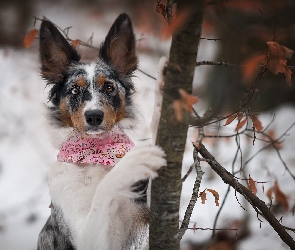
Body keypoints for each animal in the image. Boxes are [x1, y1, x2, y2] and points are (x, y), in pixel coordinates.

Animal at [37, 13, 166, 250]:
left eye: (108, 87)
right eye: (74, 90)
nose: (94, 116)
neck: (95, 153)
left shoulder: (143, 219)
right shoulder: (86, 238)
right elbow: (103, 191)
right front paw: (132, 163)